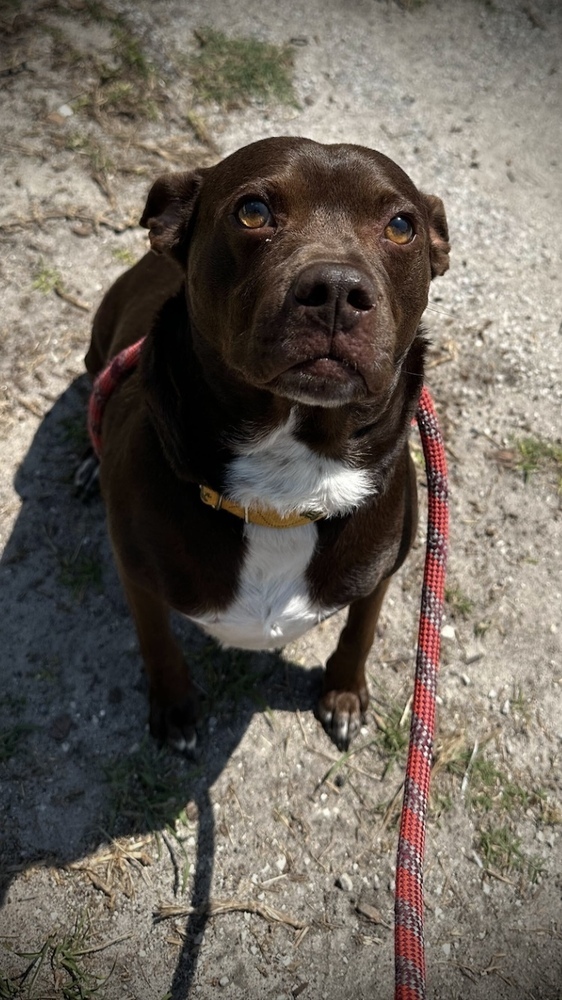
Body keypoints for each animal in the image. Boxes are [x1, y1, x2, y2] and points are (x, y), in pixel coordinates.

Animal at [83, 137, 448, 752]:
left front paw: (343, 694)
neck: (289, 481)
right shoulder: (137, 574)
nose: (337, 291)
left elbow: (362, 630)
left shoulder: (382, 571)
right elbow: (158, 643)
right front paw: (174, 707)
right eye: (252, 212)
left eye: (402, 226)